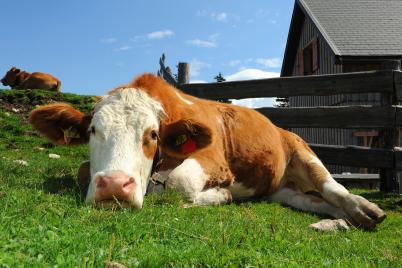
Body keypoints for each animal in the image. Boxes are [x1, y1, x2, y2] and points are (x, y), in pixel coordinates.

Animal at [29, 73, 384, 228]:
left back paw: (364, 209)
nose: (115, 186)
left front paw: (220, 196)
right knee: (314, 201)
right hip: (279, 188)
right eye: (92, 130)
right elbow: (82, 171)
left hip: (303, 152)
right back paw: (343, 217)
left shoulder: (214, 162)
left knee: (333, 188)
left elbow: (180, 183)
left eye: (153, 134)